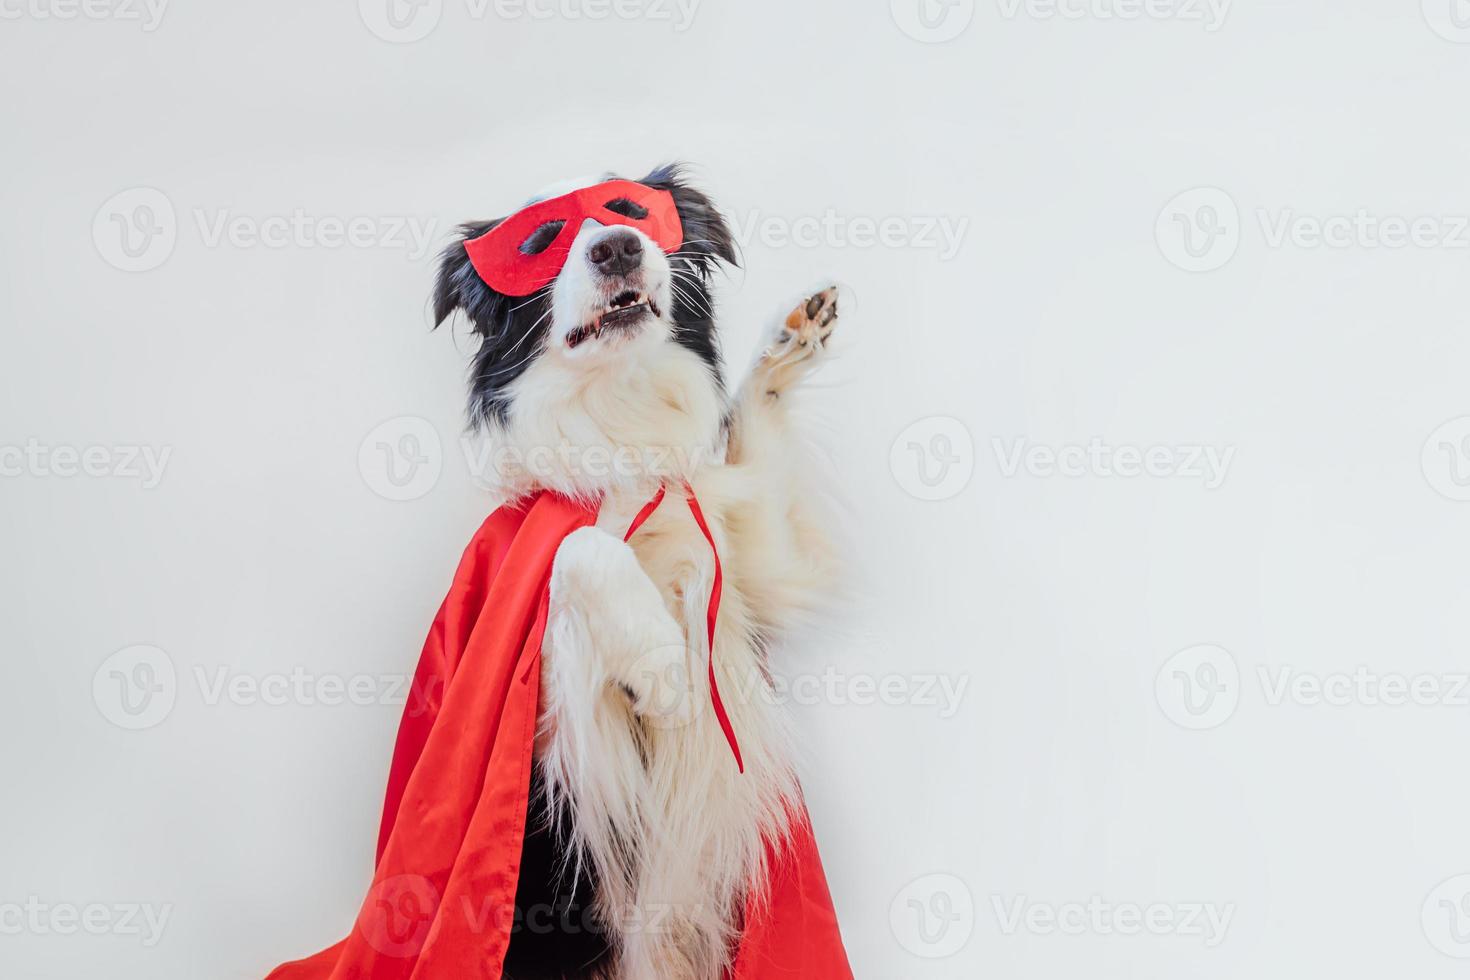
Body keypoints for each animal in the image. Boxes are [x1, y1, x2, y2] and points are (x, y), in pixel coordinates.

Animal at [429, 164, 846, 975]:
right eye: (539, 242)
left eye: (634, 212)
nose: (617, 247)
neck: (623, 429)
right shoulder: (558, 724)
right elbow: (579, 550)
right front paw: (661, 667)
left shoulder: (757, 567)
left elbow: (753, 444)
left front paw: (788, 344)